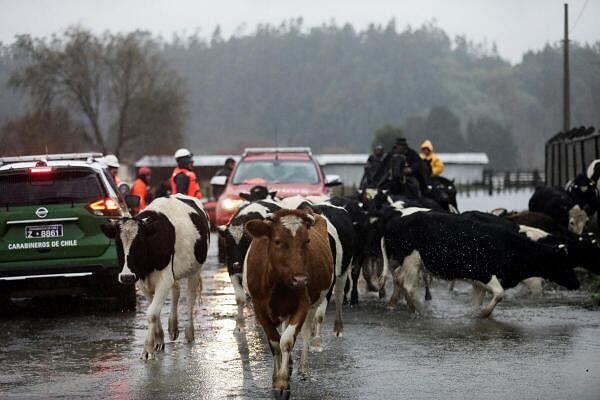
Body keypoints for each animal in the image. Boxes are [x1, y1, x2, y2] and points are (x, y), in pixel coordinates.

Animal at [101, 194, 209, 360]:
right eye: (118, 244)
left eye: (139, 243)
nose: (126, 277)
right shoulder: (142, 281)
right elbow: (154, 311)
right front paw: (158, 340)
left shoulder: (164, 279)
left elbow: (152, 313)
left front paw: (147, 349)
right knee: (176, 290)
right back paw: (173, 327)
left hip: (195, 270)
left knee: (190, 298)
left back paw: (189, 333)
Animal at [243, 209, 332, 400]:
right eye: (277, 241)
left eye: (307, 241)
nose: (300, 279)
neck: (278, 285)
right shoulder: (259, 308)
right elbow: (275, 343)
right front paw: (276, 378)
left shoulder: (303, 304)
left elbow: (286, 341)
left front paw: (283, 383)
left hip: (313, 305)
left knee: (305, 334)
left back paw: (303, 369)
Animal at [378, 208, 580, 318]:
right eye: (563, 263)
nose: (577, 283)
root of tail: (396, 220)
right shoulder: (484, 273)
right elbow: (499, 294)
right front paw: (484, 314)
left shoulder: (478, 283)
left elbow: (476, 302)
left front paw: (475, 314)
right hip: (412, 261)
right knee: (408, 285)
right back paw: (418, 311)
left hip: (404, 261)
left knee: (398, 279)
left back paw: (394, 305)